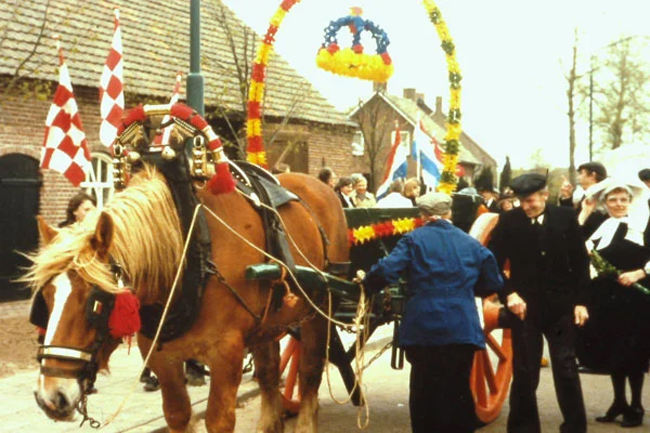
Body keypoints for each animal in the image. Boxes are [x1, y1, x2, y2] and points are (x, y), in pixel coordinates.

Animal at [26, 105, 350, 432]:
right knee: (269, 374)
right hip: (269, 322)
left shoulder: (226, 353)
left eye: (96, 302)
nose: (50, 397)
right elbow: (177, 414)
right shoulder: (161, 356)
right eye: (46, 298)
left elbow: (219, 419)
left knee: (309, 371)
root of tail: (318, 186)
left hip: (320, 308)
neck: (190, 246)